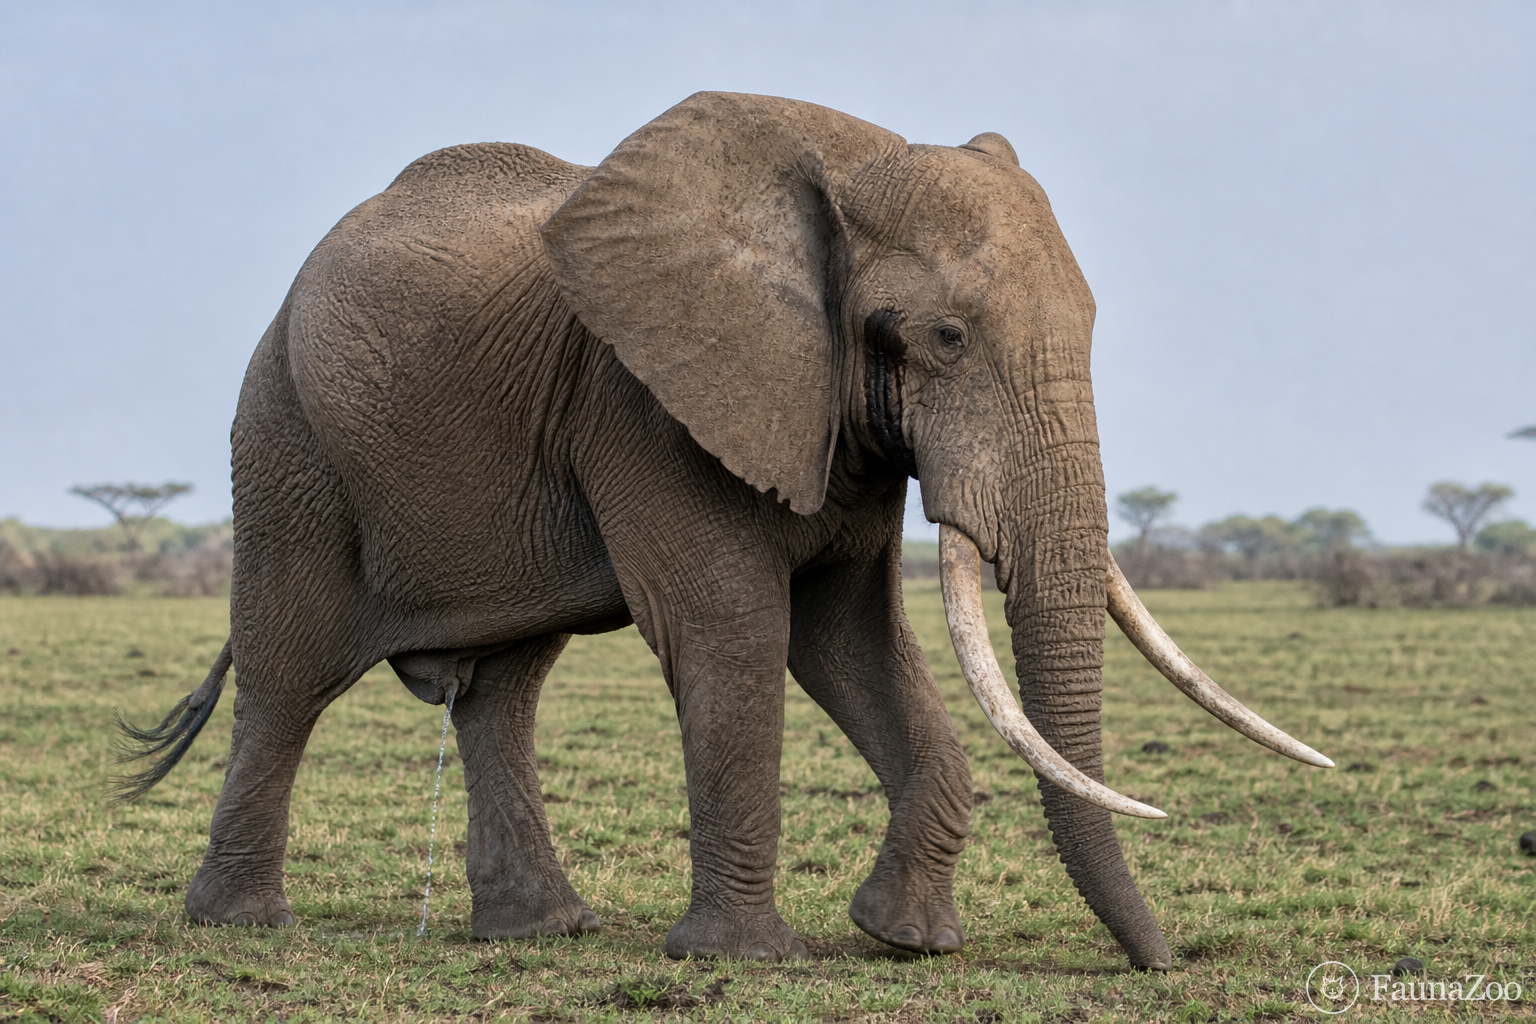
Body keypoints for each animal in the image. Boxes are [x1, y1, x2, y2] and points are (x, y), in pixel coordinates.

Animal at [119, 92, 1332, 967]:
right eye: (943, 337)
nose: (1163, 965)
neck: (848, 162)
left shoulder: (827, 420)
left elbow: (848, 641)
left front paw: (907, 941)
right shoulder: (646, 399)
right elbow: (738, 630)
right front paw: (746, 959)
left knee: (504, 688)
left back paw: (543, 931)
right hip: (286, 435)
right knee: (290, 673)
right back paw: (240, 926)